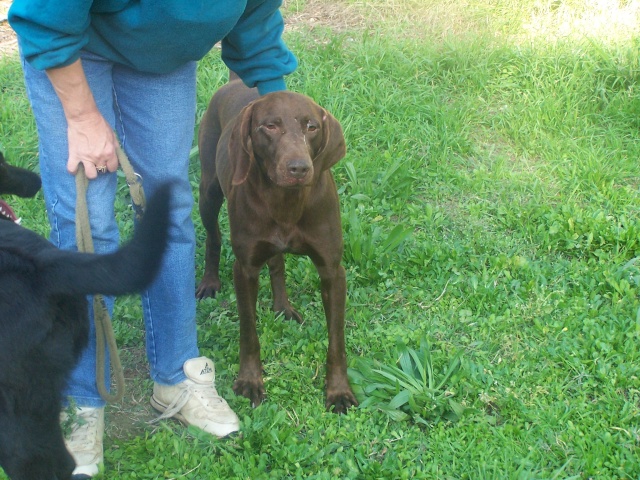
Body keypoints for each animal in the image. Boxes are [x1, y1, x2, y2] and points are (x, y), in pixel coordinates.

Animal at [198, 79, 358, 412]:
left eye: (311, 126)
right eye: (270, 126)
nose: (299, 168)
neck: (286, 202)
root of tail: (236, 81)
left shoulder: (332, 272)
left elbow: (336, 341)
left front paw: (338, 390)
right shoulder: (245, 269)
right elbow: (249, 333)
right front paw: (250, 380)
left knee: (277, 261)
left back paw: (282, 306)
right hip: (208, 191)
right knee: (213, 236)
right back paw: (209, 281)